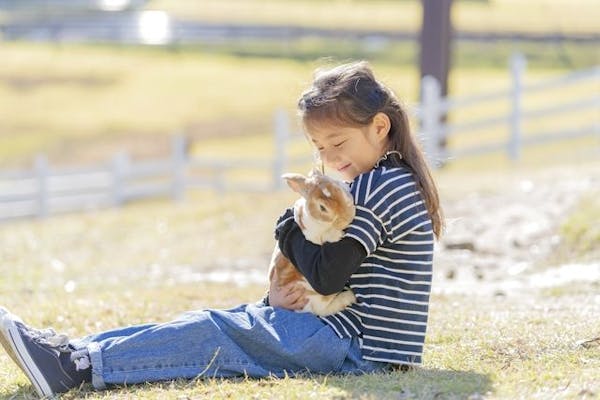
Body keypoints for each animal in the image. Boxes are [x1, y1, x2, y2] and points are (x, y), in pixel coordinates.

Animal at [268, 169, 356, 316]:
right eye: (322, 207)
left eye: (338, 187)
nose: (347, 216)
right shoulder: (312, 235)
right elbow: (325, 236)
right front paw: (337, 235)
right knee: (323, 309)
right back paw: (349, 297)